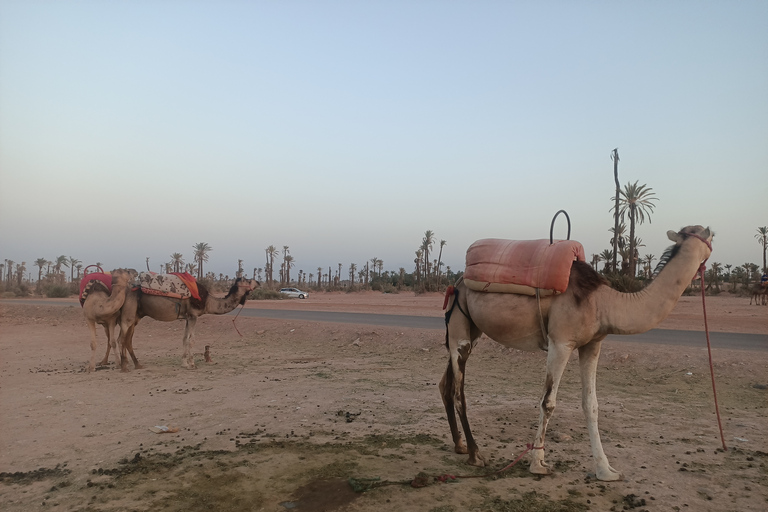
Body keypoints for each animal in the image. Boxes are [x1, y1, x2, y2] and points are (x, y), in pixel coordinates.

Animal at [112, 278, 260, 370]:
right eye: (248, 280)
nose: (258, 282)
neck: (208, 301)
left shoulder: (188, 317)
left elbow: (184, 339)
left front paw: (184, 363)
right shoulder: (193, 316)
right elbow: (191, 340)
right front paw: (192, 364)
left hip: (136, 316)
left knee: (127, 340)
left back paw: (136, 365)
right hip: (128, 315)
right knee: (121, 339)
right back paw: (123, 367)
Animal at [440, 224, 716, 480]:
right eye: (706, 234)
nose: (711, 233)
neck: (603, 303)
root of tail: (457, 282)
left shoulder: (592, 345)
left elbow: (591, 405)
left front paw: (606, 471)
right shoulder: (561, 342)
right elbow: (548, 402)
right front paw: (538, 464)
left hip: (472, 330)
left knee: (446, 383)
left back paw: (460, 445)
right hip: (459, 321)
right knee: (458, 390)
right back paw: (475, 454)